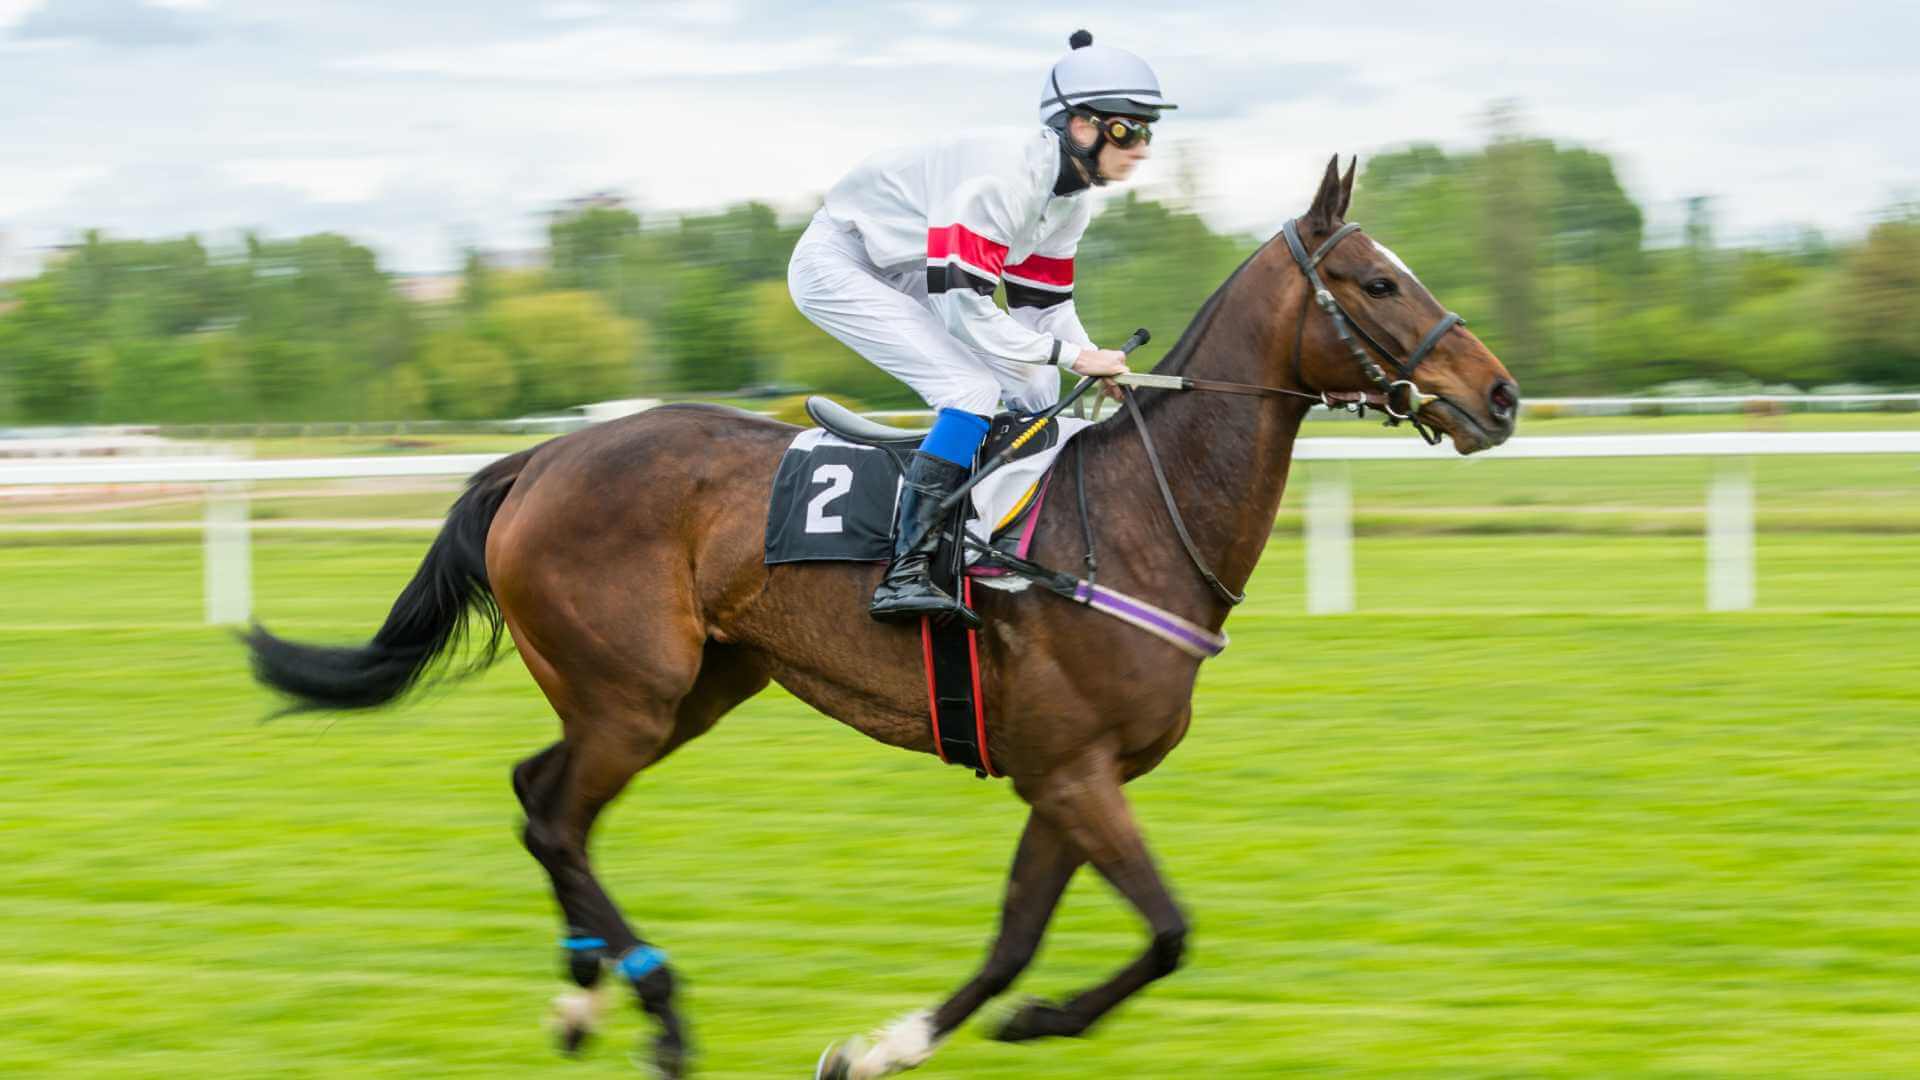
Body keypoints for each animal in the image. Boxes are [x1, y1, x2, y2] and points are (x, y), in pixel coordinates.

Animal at [246, 156, 1518, 1078]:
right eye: (1376, 282)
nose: (1500, 396)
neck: (1133, 519)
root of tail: (543, 458)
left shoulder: (1066, 772)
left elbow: (1019, 940)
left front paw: (889, 1044)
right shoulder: (1073, 770)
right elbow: (1166, 930)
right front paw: (1002, 1025)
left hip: (691, 688)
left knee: (536, 795)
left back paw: (581, 998)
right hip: (631, 693)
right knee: (557, 817)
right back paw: (659, 1007)